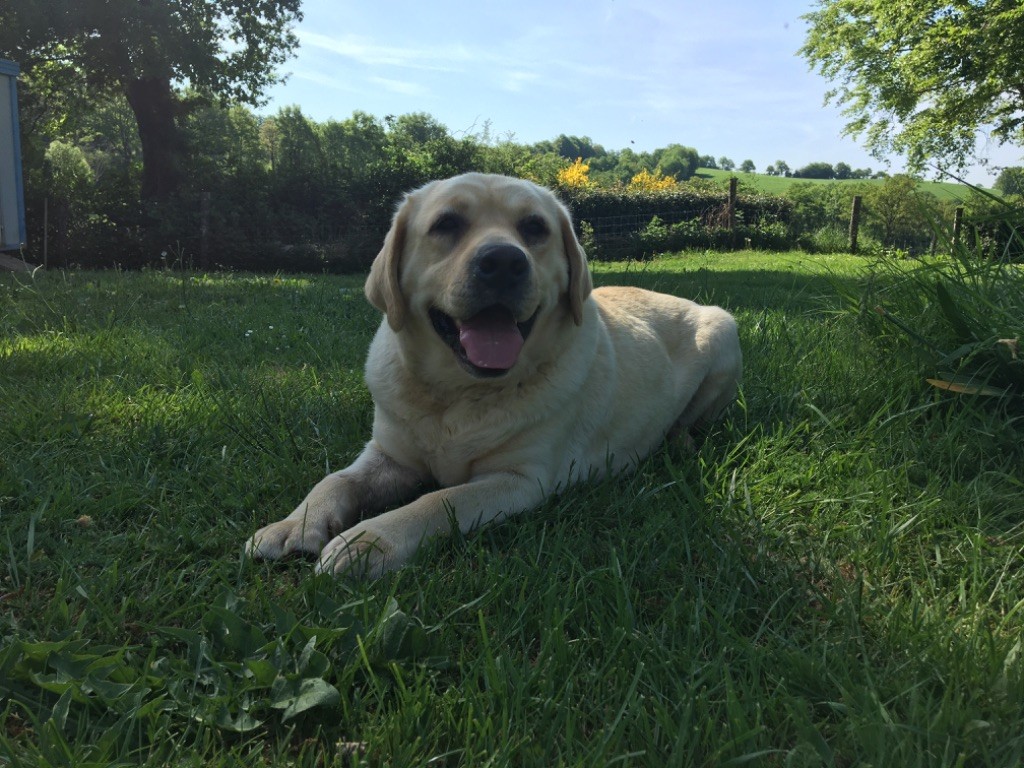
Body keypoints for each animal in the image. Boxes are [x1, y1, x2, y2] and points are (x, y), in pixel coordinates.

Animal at [246, 173, 742, 578]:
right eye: (446, 224)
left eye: (535, 228)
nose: (504, 261)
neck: (459, 394)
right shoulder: (389, 455)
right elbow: (335, 479)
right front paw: (295, 523)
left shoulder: (520, 479)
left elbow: (440, 499)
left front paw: (369, 540)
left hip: (723, 330)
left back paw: (677, 442)